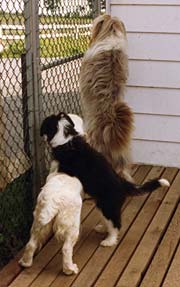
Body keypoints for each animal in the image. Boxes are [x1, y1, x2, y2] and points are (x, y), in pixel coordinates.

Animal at [40, 112, 170, 248]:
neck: (67, 141)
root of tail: (123, 184)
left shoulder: (65, 169)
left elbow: (54, 173)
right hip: (102, 205)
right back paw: (102, 228)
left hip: (108, 206)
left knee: (115, 224)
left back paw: (109, 241)